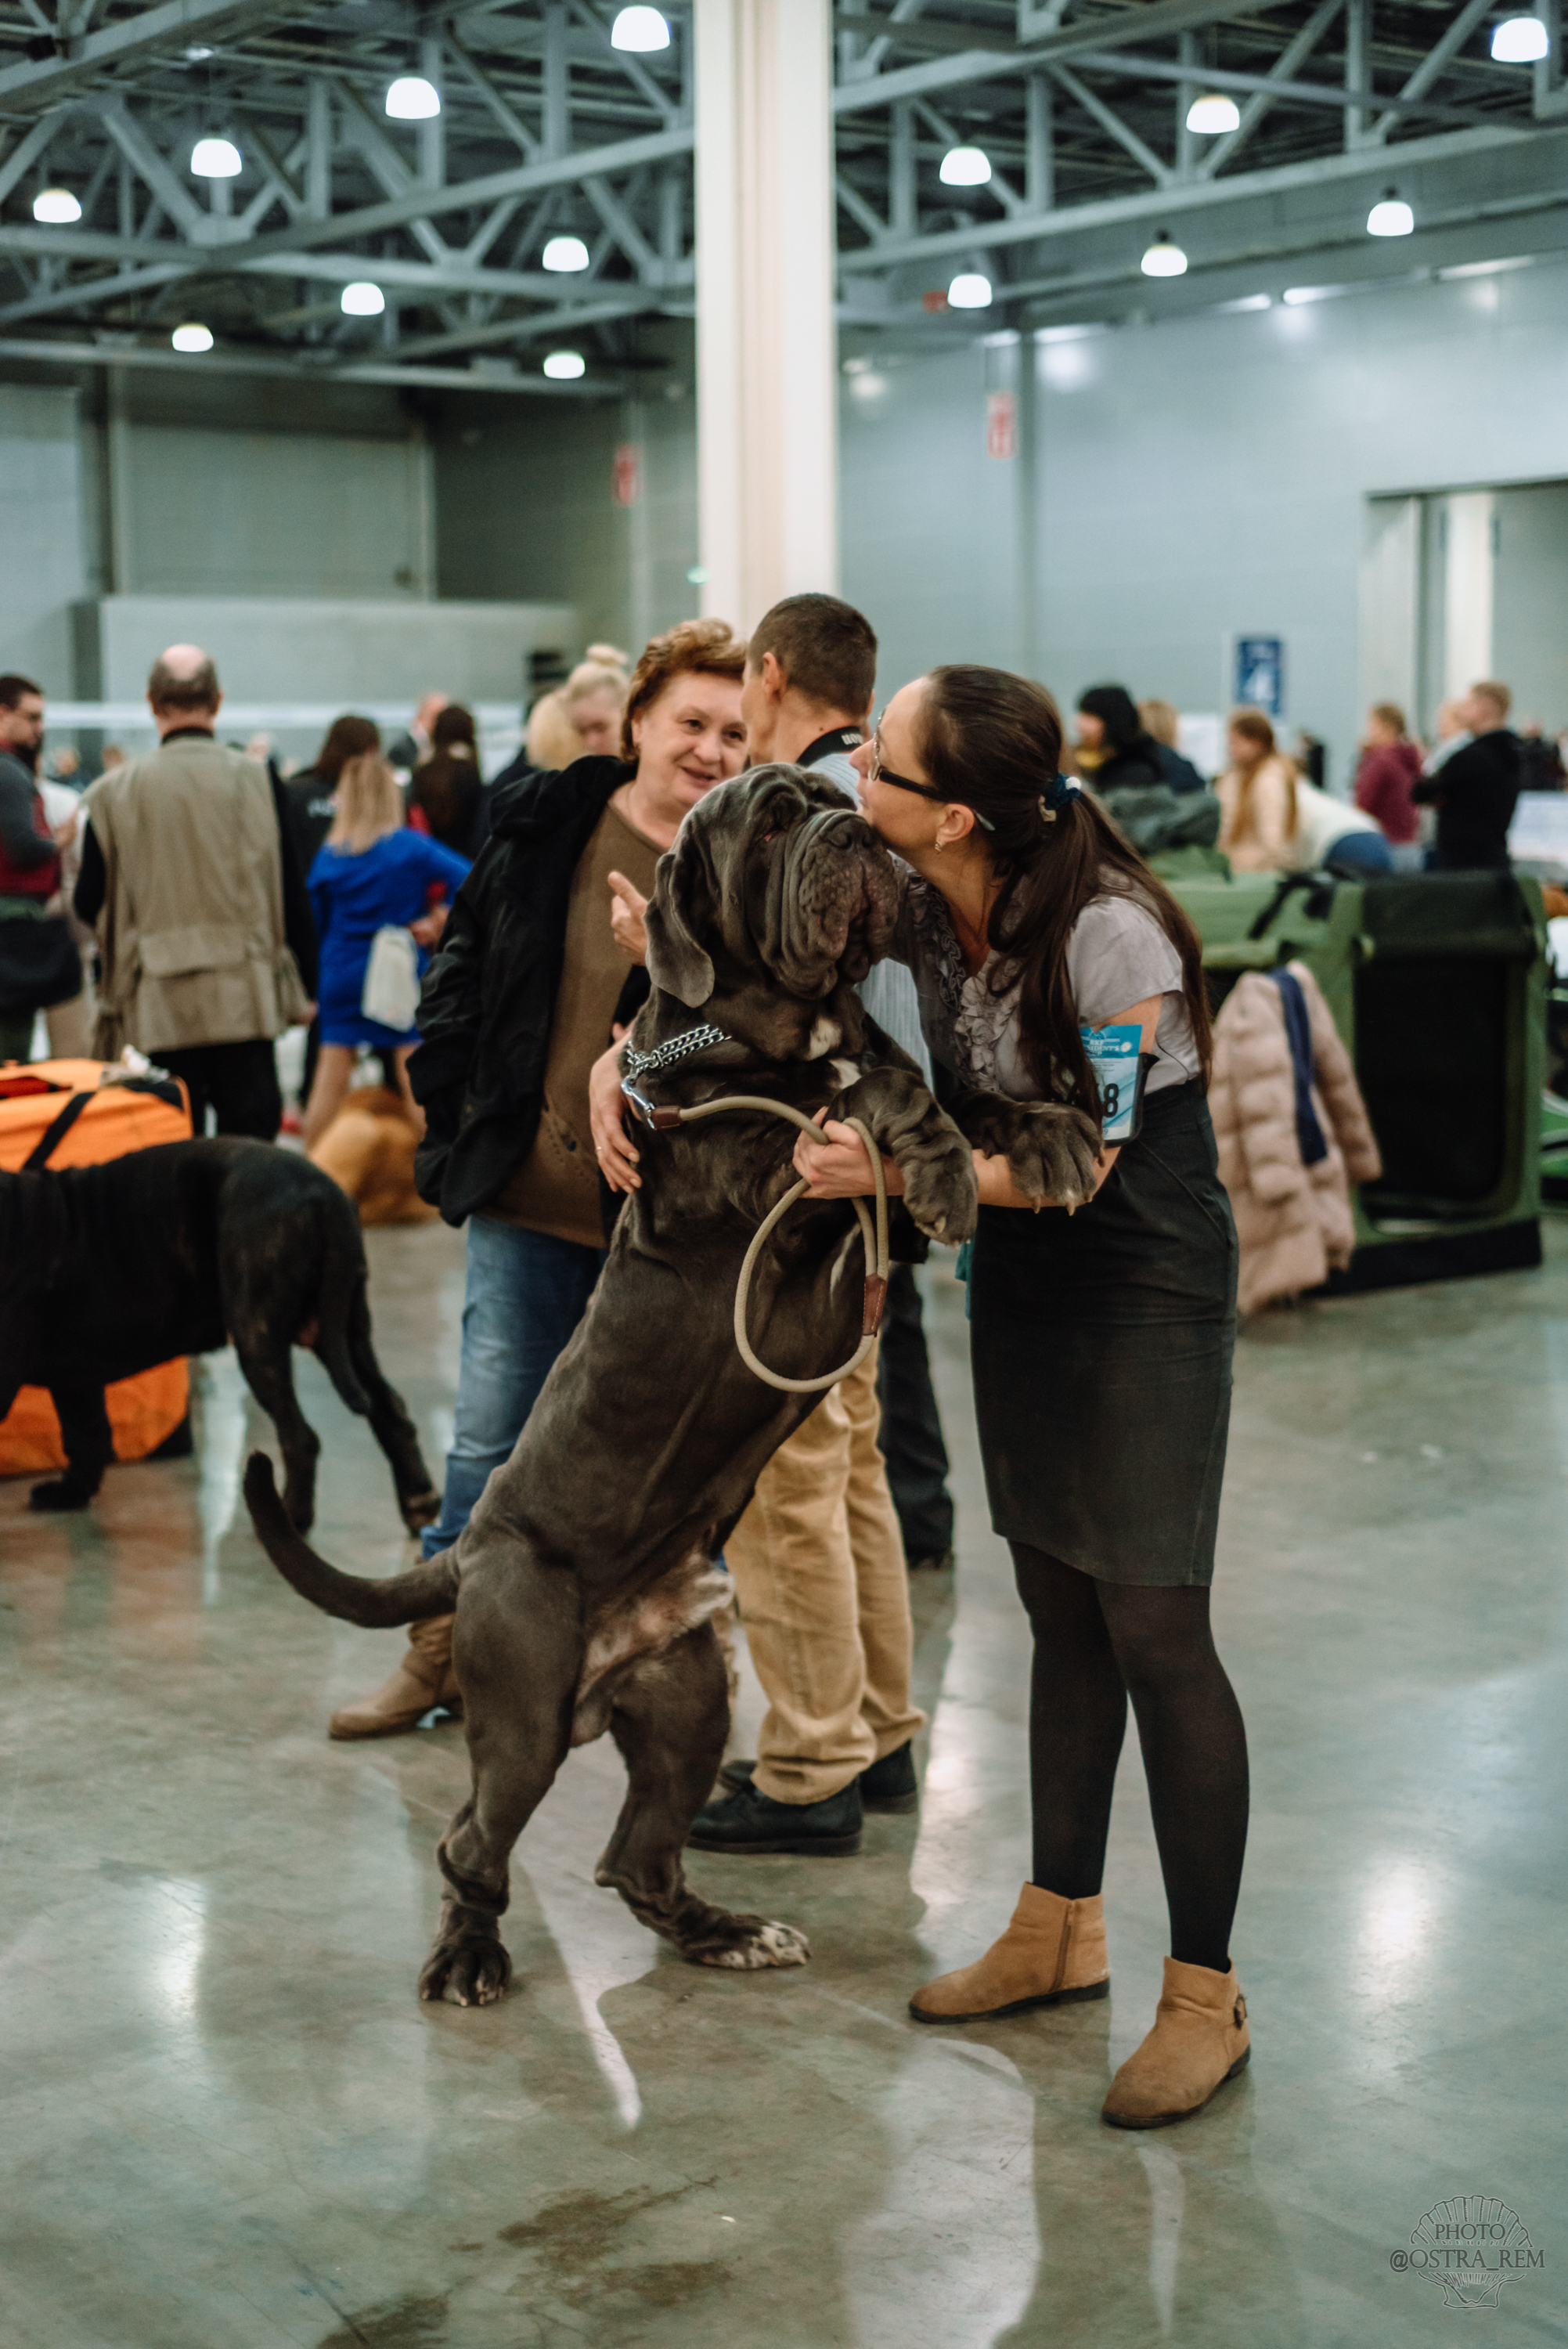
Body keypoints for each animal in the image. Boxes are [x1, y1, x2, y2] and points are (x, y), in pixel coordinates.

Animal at [2, 1132, 434, 1522]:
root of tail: (322, 1193)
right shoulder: (77, 1375)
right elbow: (85, 1434)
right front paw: (71, 1493)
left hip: (257, 1336)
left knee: (300, 1437)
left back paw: (291, 1519)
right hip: (344, 1333)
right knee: (388, 1408)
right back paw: (419, 1500)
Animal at [245, 766, 1103, 2001]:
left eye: (838, 798)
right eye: (775, 820)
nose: (852, 834)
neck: (786, 1029)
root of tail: (473, 1545)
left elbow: (941, 1089)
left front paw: (1048, 1133)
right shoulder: (773, 1178)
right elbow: (874, 1107)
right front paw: (946, 1168)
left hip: (692, 1697)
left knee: (632, 1857)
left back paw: (725, 1930)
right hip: (525, 1709)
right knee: (471, 1838)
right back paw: (468, 1956)